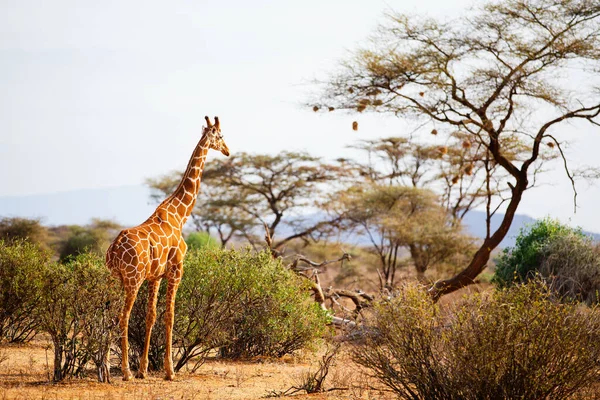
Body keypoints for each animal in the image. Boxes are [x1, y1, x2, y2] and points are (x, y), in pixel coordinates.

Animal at [104, 116, 229, 382]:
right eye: (221, 135)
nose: (227, 151)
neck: (180, 214)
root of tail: (115, 249)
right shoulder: (176, 270)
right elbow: (170, 316)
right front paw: (169, 371)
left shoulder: (155, 276)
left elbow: (151, 316)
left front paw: (143, 369)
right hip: (133, 279)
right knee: (123, 317)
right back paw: (125, 372)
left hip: (113, 278)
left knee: (105, 315)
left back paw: (106, 369)